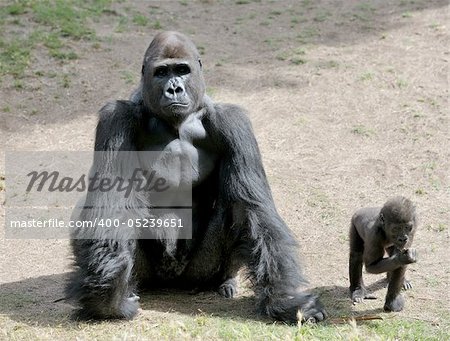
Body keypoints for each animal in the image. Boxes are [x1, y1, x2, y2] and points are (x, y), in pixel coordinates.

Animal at [67, 31, 326, 324]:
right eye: (161, 73)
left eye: (182, 70)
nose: (174, 89)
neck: (177, 123)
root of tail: (174, 283)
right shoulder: (116, 117)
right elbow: (112, 203)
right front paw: (108, 302)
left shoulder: (233, 123)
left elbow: (251, 208)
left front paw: (286, 301)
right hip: (151, 276)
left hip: (198, 271)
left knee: (235, 214)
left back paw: (223, 282)